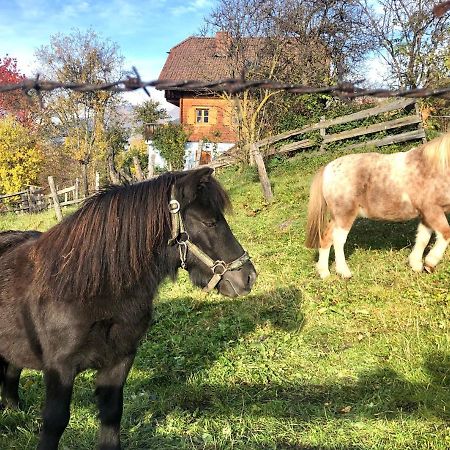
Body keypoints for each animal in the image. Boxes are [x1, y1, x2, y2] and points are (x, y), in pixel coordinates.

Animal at [0, 167, 255, 448]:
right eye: (210, 222)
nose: (249, 277)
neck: (84, 289)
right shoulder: (60, 369)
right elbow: (55, 422)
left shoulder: (119, 361)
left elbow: (112, 415)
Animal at [306, 133, 450, 278]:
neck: (433, 167)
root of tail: (328, 168)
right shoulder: (432, 210)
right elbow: (445, 233)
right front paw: (430, 262)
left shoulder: (425, 214)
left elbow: (423, 238)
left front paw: (416, 264)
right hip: (345, 215)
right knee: (338, 240)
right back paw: (344, 272)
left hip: (337, 217)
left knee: (326, 238)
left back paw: (324, 273)